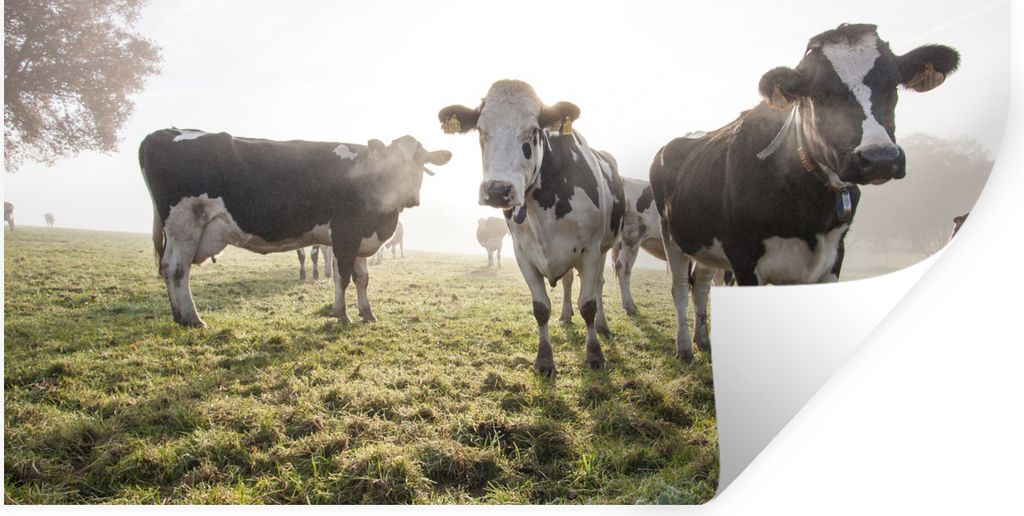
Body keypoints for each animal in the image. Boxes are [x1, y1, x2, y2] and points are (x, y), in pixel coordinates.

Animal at [139, 128, 450, 328]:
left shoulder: (361, 237)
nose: (410, 197)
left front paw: (368, 314)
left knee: (171, 269)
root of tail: (165, 132)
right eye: (392, 163)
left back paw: (180, 316)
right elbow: (343, 277)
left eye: (421, 163)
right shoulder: (344, 233)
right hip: (185, 222)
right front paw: (342, 315)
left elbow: (362, 279)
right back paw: (191, 318)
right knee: (176, 269)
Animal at [439, 80, 626, 376]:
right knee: (569, 281)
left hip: (606, 246)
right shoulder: (522, 253)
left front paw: (595, 355)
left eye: (534, 130)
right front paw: (544, 360)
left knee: (597, 285)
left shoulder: (591, 249)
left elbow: (588, 305)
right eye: (480, 130)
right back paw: (565, 315)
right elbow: (540, 308)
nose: (497, 190)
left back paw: (603, 326)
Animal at [650, 23, 959, 361]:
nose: (879, 158)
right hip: (672, 236)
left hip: (705, 244)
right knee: (681, 288)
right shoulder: (743, 258)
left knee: (702, 286)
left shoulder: (833, 256)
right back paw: (684, 348)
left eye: (892, 84)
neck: (808, 211)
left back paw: (703, 340)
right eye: (820, 93)